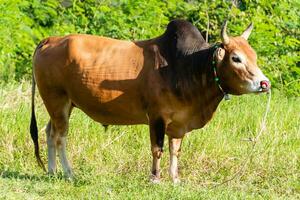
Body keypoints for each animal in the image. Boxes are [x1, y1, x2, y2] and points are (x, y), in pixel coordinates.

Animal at [29, 19, 270, 183]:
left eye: (254, 57)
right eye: (236, 58)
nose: (264, 83)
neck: (185, 66)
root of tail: (51, 40)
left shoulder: (179, 122)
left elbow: (175, 150)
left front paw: (175, 178)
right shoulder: (157, 117)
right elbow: (158, 148)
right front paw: (155, 177)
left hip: (64, 105)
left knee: (49, 132)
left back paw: (51, 171)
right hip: (57, 100)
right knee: (60, 137)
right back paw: (69, 173)